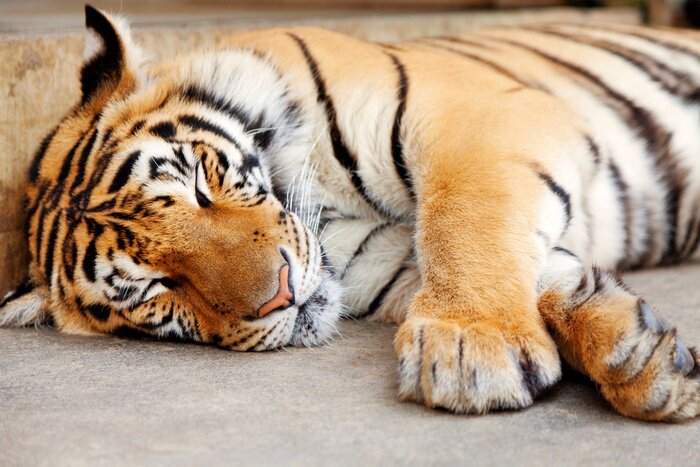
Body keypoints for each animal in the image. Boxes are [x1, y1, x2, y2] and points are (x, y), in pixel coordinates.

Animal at [2, 4, 700, 422]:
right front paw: (641, 355)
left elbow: (466, 220)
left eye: (198, 184)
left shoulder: (481, 116)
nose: (280, 295)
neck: (323, 212)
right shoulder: (387, 262)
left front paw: (472, 347)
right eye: (157, 288)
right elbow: (534, 269)